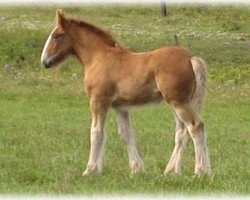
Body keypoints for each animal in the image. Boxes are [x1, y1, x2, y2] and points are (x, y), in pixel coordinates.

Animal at [40, 9, 211, 176]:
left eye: (56, 36)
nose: (45, 61)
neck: (99, 57)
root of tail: (190, 58)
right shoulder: (120, 106)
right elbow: (125, 134)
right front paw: (136, 169)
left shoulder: (98, 101)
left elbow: (96, 132)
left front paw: (90, 170)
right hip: (178, 102)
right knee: (182, 132)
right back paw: (173, 170)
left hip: (178, 102)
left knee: (195, 126)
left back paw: (200, 171)